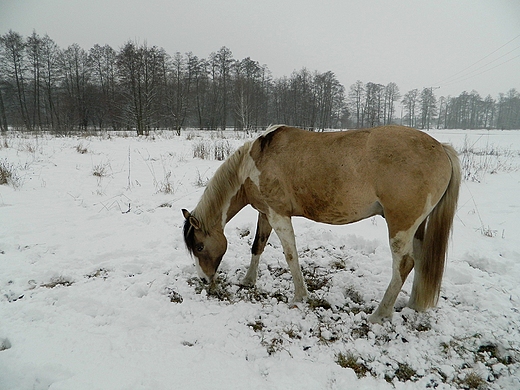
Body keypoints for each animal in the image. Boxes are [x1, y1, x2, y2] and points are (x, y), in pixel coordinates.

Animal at [182, 125, 460, 322]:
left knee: (404, 264)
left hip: (400, 226)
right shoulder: (265, 213)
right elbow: (257, 246)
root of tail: (440, 148)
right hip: (417, 227)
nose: (204, 280)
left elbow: (291, 255)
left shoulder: (278, 215)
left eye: (199, 247)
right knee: (421, 258)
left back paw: (379, 315)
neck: (254, 164)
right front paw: (248, 281)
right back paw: (412, 305)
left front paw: (299, 296)